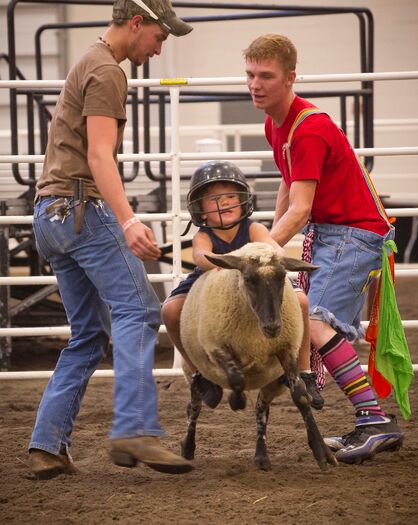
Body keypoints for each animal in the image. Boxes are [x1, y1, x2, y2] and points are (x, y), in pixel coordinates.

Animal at [180, 242, 336, 470]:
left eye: (283, 277)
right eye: (248, 279)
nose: (273, 326)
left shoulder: (286, 349)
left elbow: (300, 397)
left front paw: (322, 452)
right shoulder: (217, 348)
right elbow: (237, 379)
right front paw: (236, 400)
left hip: (273, 382)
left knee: (261, 409)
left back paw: (261, 456)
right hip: (193, 369)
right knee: (194, 407)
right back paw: (188, 447)